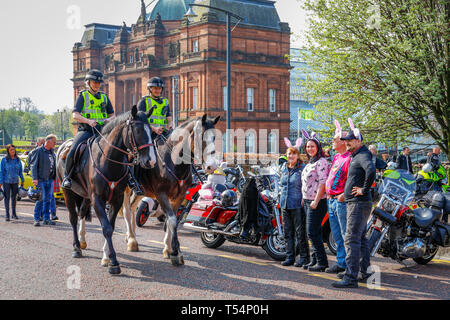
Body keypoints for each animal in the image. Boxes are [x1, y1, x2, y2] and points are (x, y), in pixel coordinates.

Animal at [55, 105, 156, 276]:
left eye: (152, 131)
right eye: (138, 130)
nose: (151, 161)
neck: (108, 160)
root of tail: (63, 145)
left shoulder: (116, 199)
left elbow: (111, 226)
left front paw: (107, 257)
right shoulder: (98, 199)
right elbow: (106, 228)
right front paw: (113, 262)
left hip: (85, 195)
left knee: (82, 213)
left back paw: (82, 241)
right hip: (68, 192)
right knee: (73, 218)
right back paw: (76, 248)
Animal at [118, 114, 220, 266]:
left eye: (214, 137)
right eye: (201, 135)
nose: (212, 166)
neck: (173, 161)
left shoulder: (178, 196)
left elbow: (172, 220)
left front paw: (168, 249)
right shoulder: (162, 195)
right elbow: (171, 220)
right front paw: (175, 252)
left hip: (140, 191)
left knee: (132, 207)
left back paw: (131, 236)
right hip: (126, 188)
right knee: (127, 211)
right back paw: (131, 241)